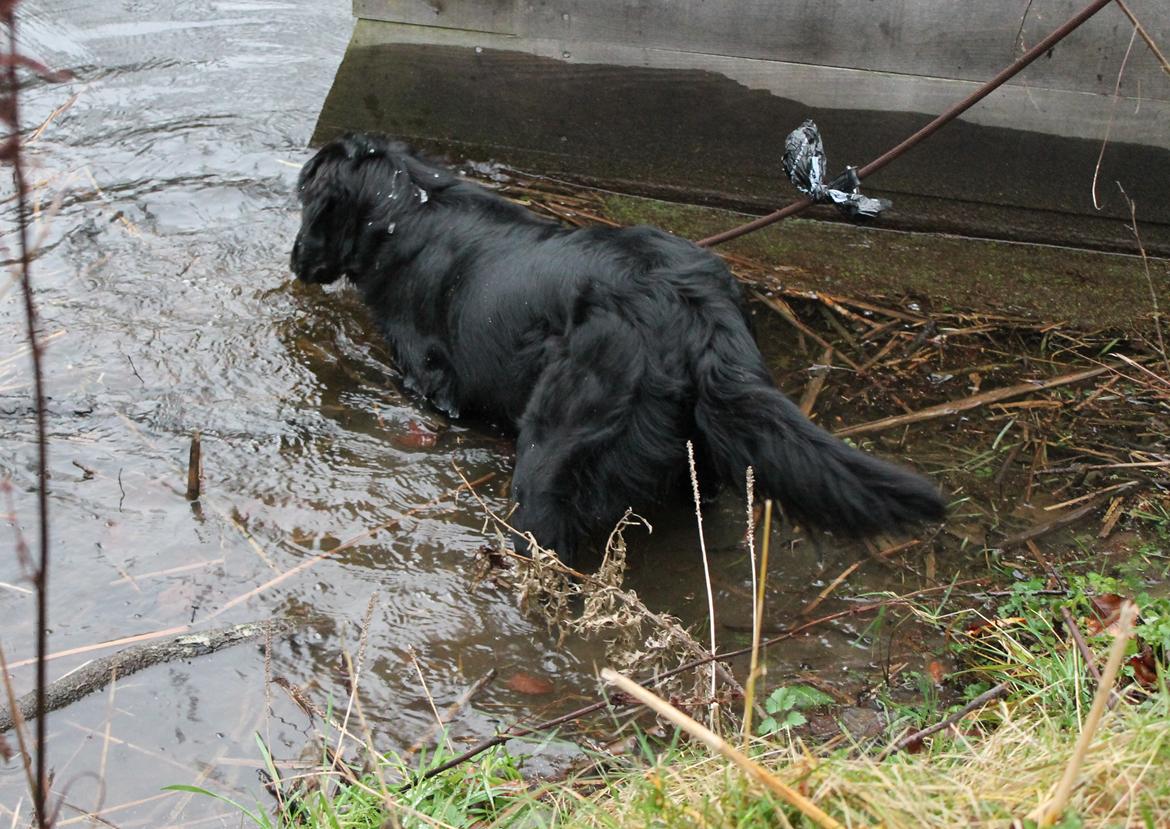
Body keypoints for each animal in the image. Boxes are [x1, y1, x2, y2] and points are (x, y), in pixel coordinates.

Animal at [290, 134, 940, 563]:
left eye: (304, 207)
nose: (294, 258)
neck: (407, 211)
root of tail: (693, 305)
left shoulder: (432, 382)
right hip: (695, 459)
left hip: (554, 447)